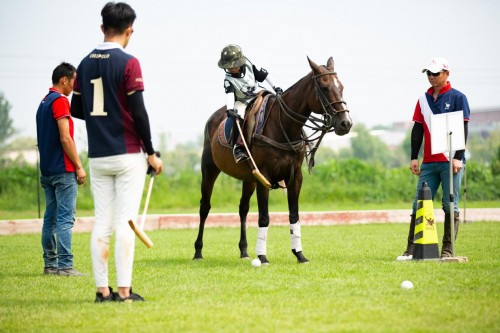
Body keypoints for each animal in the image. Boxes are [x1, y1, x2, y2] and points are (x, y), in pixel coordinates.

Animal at [193, 57, 354, 264]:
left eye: (341, 87)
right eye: (325, 88)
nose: (345, 123)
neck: (283, 125)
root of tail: (213, 117)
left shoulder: (295, 177)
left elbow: (294, 215)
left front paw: (299, 254)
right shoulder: (265, 176)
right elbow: (264, 217)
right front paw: (262, 257)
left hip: (249, 178)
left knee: (243, 208)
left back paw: (244, 251)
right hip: (209, 169)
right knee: (204, 207)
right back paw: (198, 252)